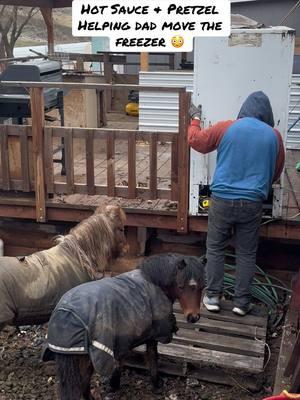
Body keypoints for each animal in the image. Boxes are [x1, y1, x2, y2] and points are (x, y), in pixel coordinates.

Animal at [42, 253, 206, 400]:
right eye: (181, 286)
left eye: (202, 287)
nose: (193, 317)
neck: (153, 283)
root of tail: (65, 315)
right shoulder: (151, 335)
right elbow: (152, 356)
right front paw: (156, 383)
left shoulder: (122, 340)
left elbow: (120, 363)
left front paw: (114, 385)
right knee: (82, 385)